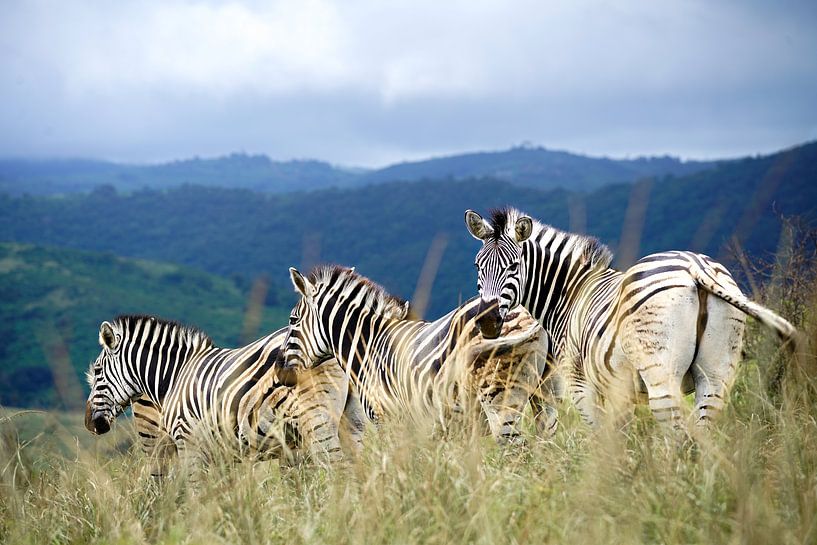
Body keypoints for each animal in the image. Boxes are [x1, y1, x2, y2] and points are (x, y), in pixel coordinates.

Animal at [85, 315, 366, 470]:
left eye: (97, 371)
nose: (89, 424)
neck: (175, 375)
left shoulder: (188, 443)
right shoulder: (219, 453)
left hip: (317, 420)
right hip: (351, 421)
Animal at [279, 265, 559, 444]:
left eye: (292, 320)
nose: (281, 373)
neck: (368, 345)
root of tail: (523, 314)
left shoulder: (388, 420)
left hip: (498, 394)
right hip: (545, 391)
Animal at [464, 207, 800, 428]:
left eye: (513, 266)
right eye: (477, 266)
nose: (488, 322)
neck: (570, 293)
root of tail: (695, 266)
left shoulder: (580, 385)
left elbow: (600, 440)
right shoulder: (617, 391)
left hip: (660, 373)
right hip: (716, 373)